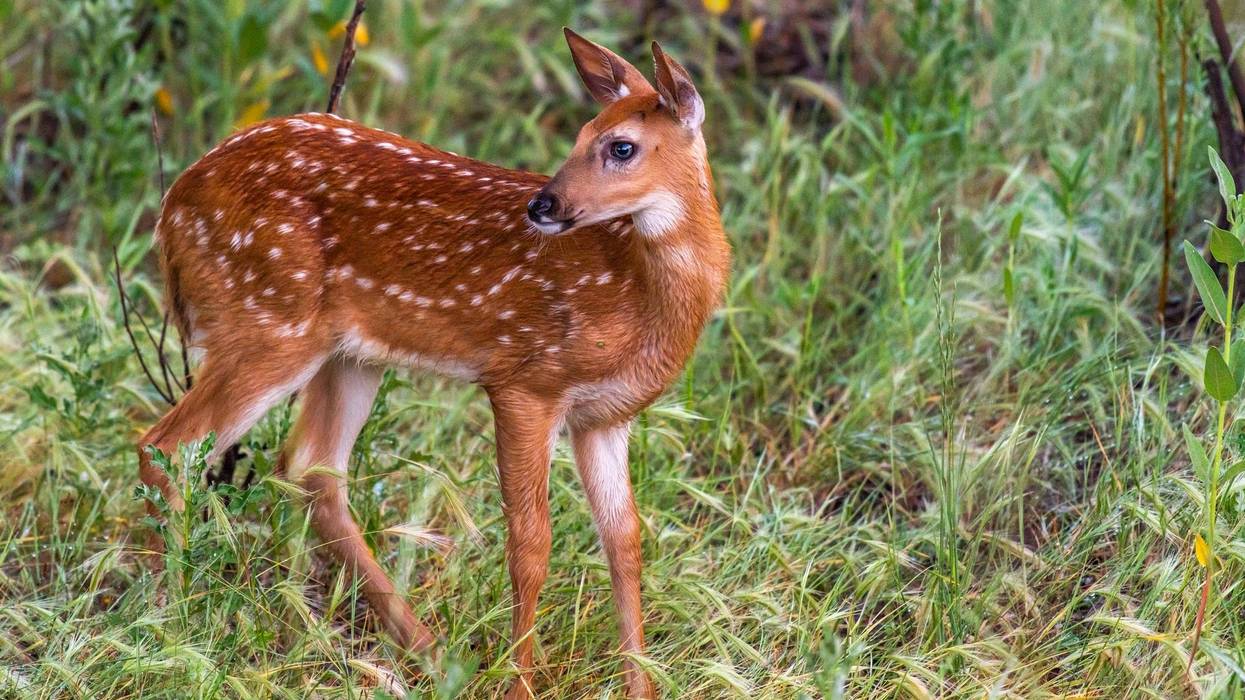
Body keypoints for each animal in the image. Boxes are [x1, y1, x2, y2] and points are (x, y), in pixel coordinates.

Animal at [137, 28, 729, 699]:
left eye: (620, 145)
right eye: (579, 135)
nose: (543, 205)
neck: (638, 297)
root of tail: (172, 206)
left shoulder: (605, 416)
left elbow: (625, 539)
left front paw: (641, 687)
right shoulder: (525, 379)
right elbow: (531, 543)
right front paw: (520, 685)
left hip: (346, 354)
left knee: (312, 469)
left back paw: (427, 652)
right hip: (266, 323)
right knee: (167, 446)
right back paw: (173, 626)